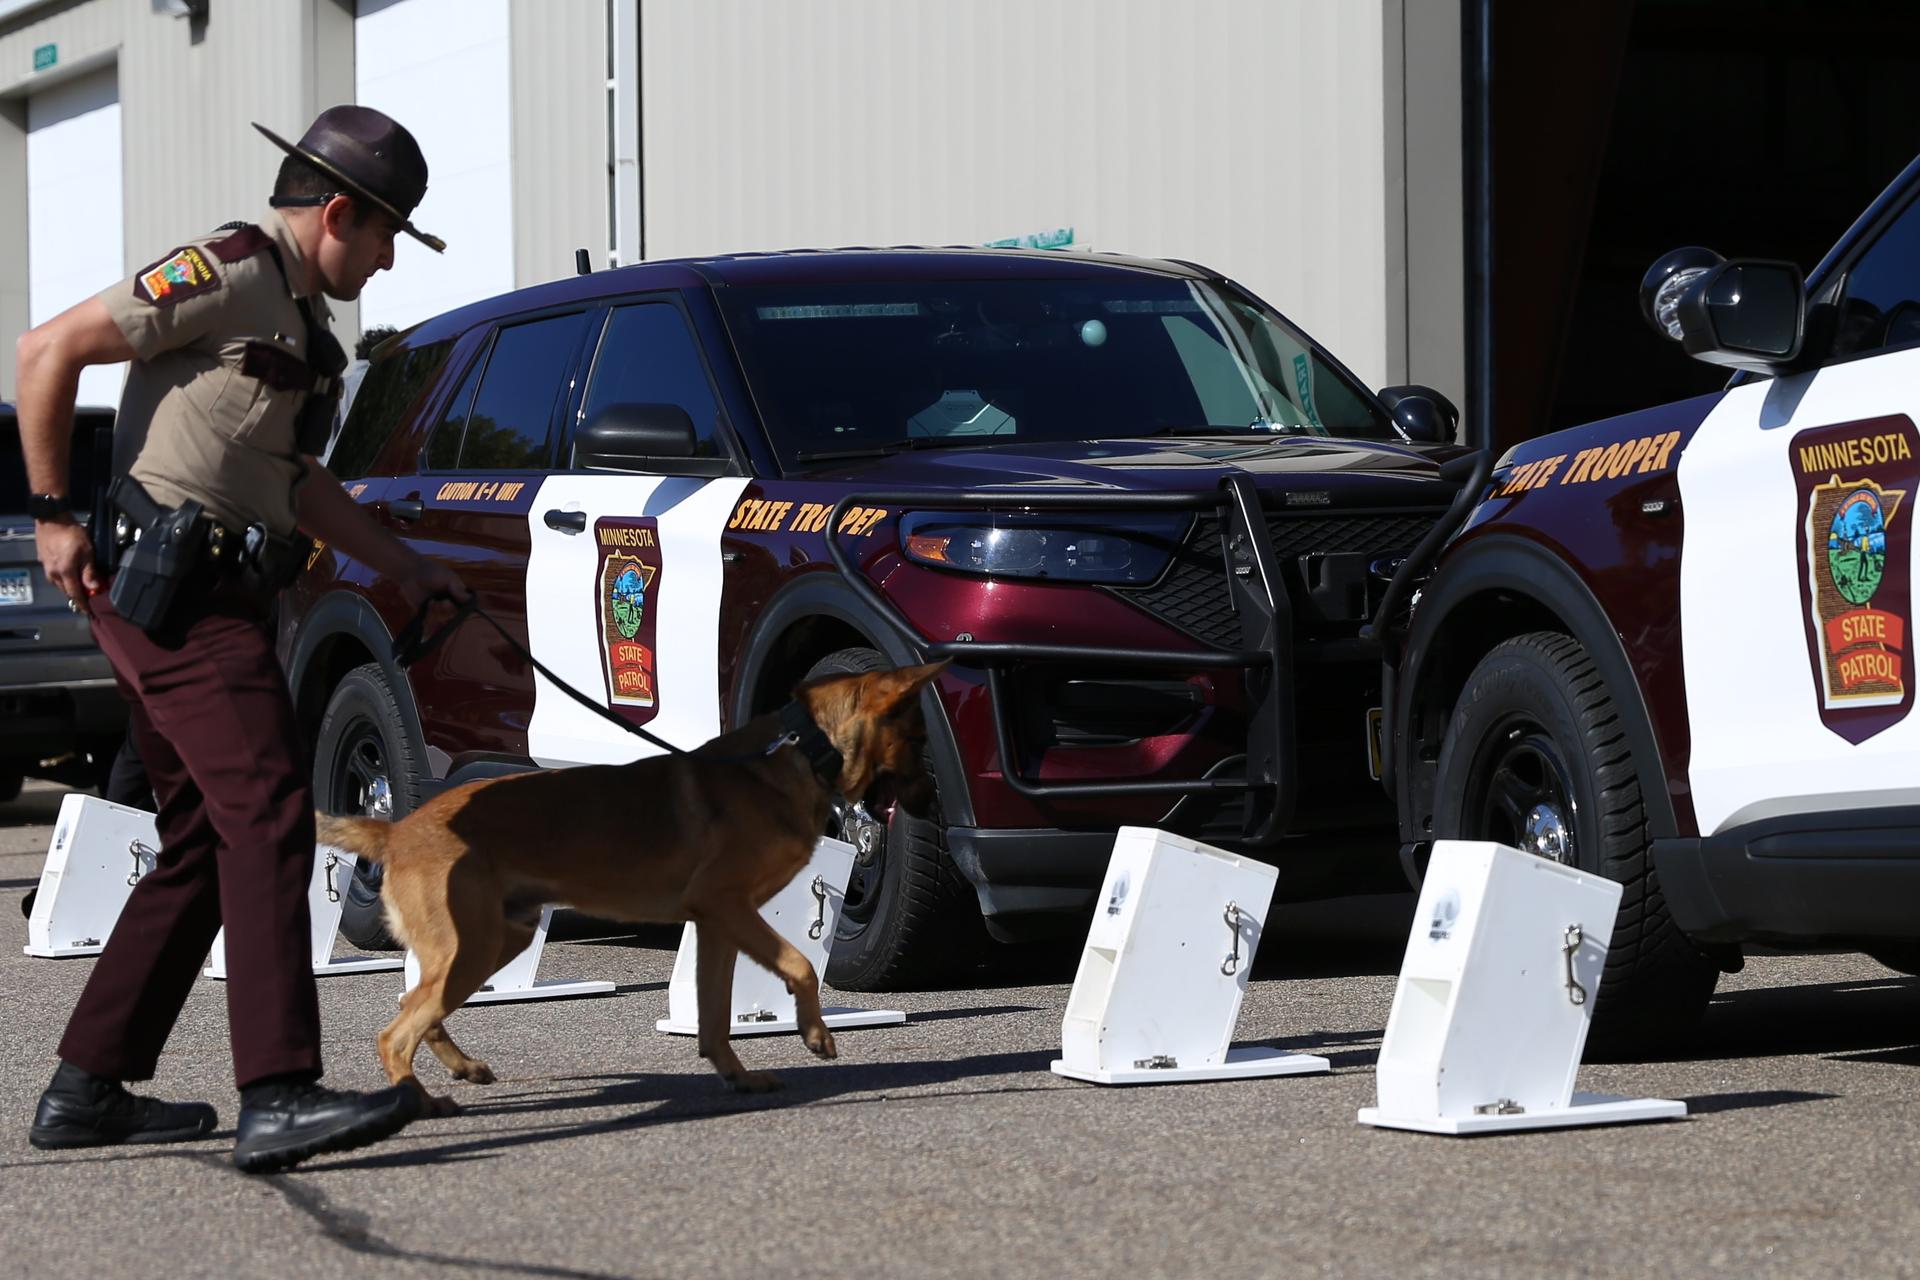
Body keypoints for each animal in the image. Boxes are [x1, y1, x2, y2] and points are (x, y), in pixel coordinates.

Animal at [316, 660, 944, 1113]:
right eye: (917, 736)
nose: (932, 804)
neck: (800, 751)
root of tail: (397, 829)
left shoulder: (718, 925)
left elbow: (715, 1016)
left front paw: (736, 1075)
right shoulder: (727, 907)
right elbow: (800, 964)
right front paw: (814, 1033)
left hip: (496, 942)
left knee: (415, 1007)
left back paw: (460, 1069)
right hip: (472, 947)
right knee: (395, 1032)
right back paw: (416, 1100)